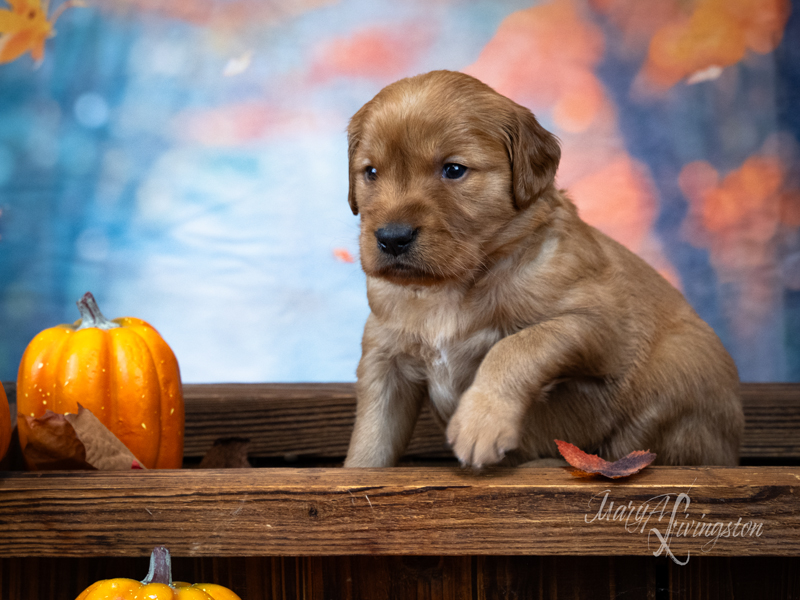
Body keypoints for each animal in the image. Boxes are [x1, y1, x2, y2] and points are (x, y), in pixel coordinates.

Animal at [344, 68, 744, 466]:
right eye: (371, 172)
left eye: (454, 169)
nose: (392, 238)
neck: (451, 287)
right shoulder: (384, 355)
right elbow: (372, 437)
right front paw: (359, 469)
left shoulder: (597, 322)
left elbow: (516, 346)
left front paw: (480, 422)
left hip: (682, 364)